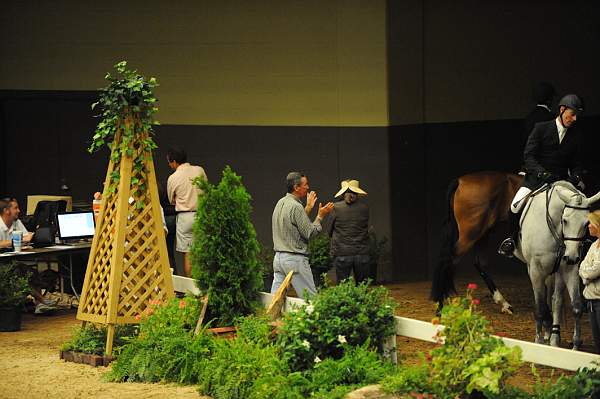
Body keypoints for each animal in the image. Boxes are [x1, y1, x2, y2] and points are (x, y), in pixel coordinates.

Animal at [428, 170, 524, 314]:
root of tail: (460, 181)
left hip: (483, 233)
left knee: (479, 263)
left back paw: (503, 303)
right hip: (471, 234)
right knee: (448, 261)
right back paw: (440, 307)